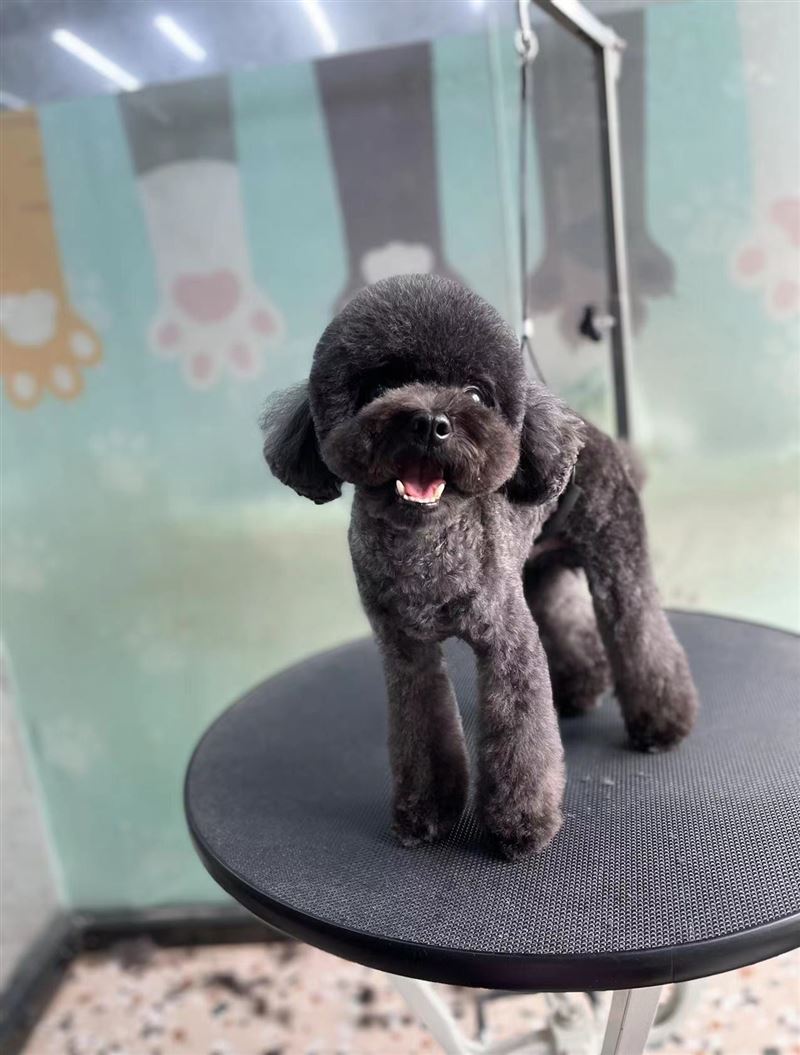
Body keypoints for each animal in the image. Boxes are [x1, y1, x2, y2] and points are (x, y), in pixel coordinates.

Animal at [261, 274, 698, 859]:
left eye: (474, 393)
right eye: (380, 385)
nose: (430, 423)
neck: (426, 548)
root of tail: (592, 432)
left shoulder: (506, 642)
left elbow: (519, 733)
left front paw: (520, 826)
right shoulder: (406, 653)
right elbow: (422, 734)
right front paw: (425, 814)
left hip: (616, 559)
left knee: (639, 630)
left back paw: (662, 724)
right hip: (536, 574)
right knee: (566, 625)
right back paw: (581, 688)